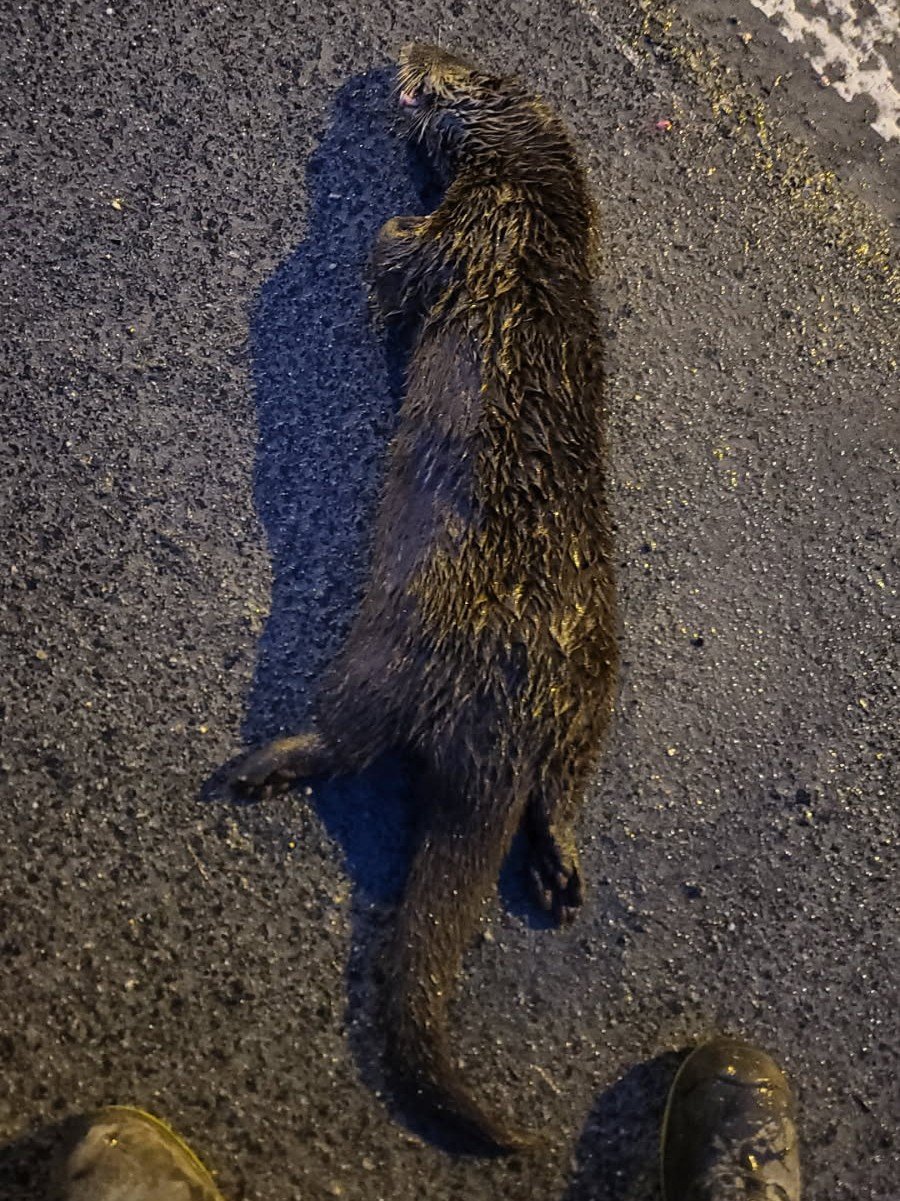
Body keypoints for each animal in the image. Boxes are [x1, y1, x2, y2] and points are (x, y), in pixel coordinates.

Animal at [232, 43, 617, 1152]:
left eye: (460, 64)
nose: (407, 51)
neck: (543, 213)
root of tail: (505, 729)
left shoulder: (477, 231)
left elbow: (400, 257)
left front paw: (377, 266)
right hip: (594, 689)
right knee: (561, 786)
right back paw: (557, 870)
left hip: (390, 650)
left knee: (349, 738)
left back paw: (260, 763)